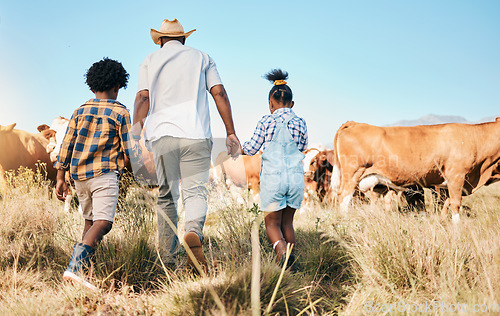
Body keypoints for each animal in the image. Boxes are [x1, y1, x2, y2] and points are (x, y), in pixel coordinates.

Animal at [332, 117, 500, 223]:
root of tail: (354, 123)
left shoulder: (449, 183)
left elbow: (446, 203)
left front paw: (442, 220)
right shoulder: (456, 176)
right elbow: (455, 203)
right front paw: (457, 227)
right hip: (352, 174)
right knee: (344, 198)